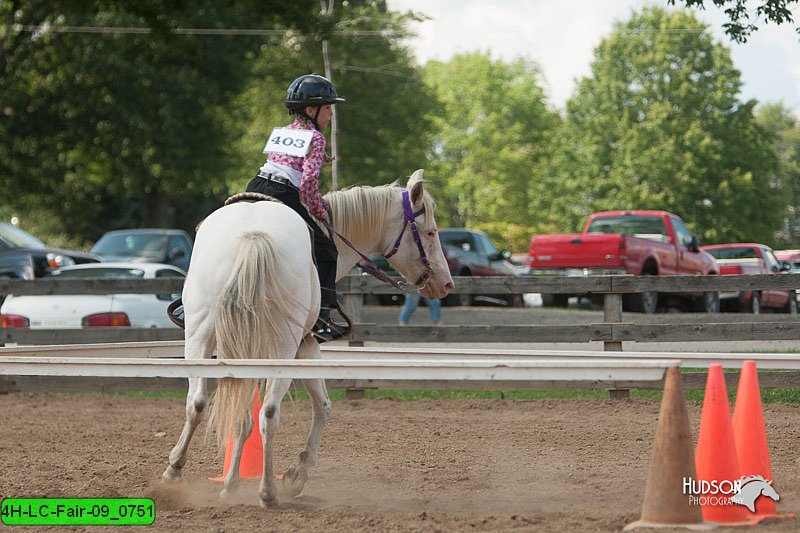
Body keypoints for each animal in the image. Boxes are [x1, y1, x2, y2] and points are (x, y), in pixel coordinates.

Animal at [161, 168, 456, 504]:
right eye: (430, 232)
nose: (446, 284)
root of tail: (253, 237)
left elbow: (242, 418)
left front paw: (230, 484)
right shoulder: (307, 346)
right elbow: (324, 406)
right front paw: (296, 473)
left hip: (201, 334)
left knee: (197, 402)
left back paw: (173, 470)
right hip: (284, 347)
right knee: (269, 412)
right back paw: (268, 491)